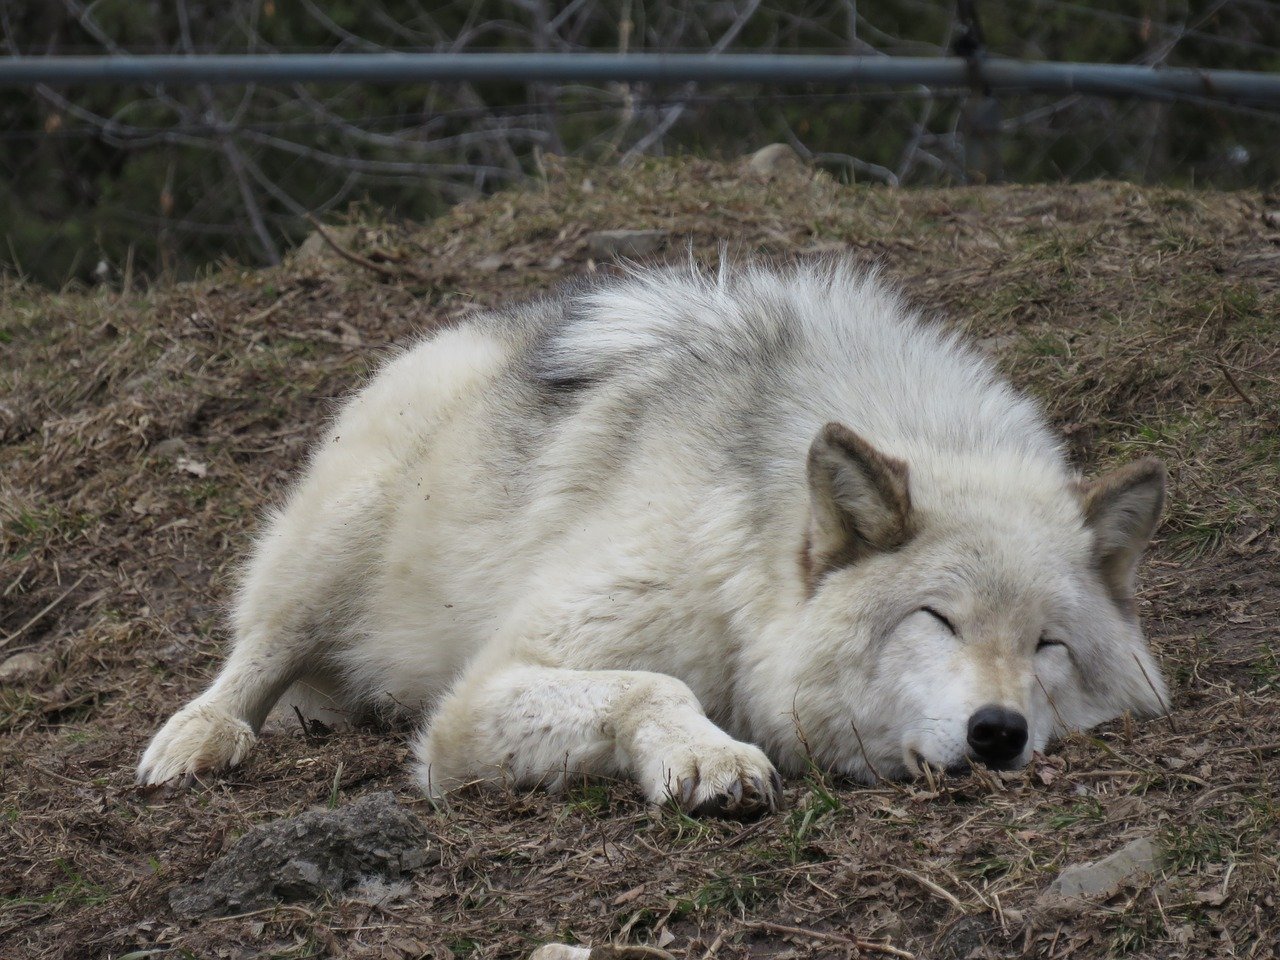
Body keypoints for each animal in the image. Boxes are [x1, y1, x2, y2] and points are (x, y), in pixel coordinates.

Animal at [140, 263, 1172, 819]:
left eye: (1049, 646)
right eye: (938, 619)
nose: (999, 733)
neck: (748, 543)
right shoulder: (484, 694)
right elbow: (653, 683)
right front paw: (712, 758)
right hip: (334, 545)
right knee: (254, 653)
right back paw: (196, 739)